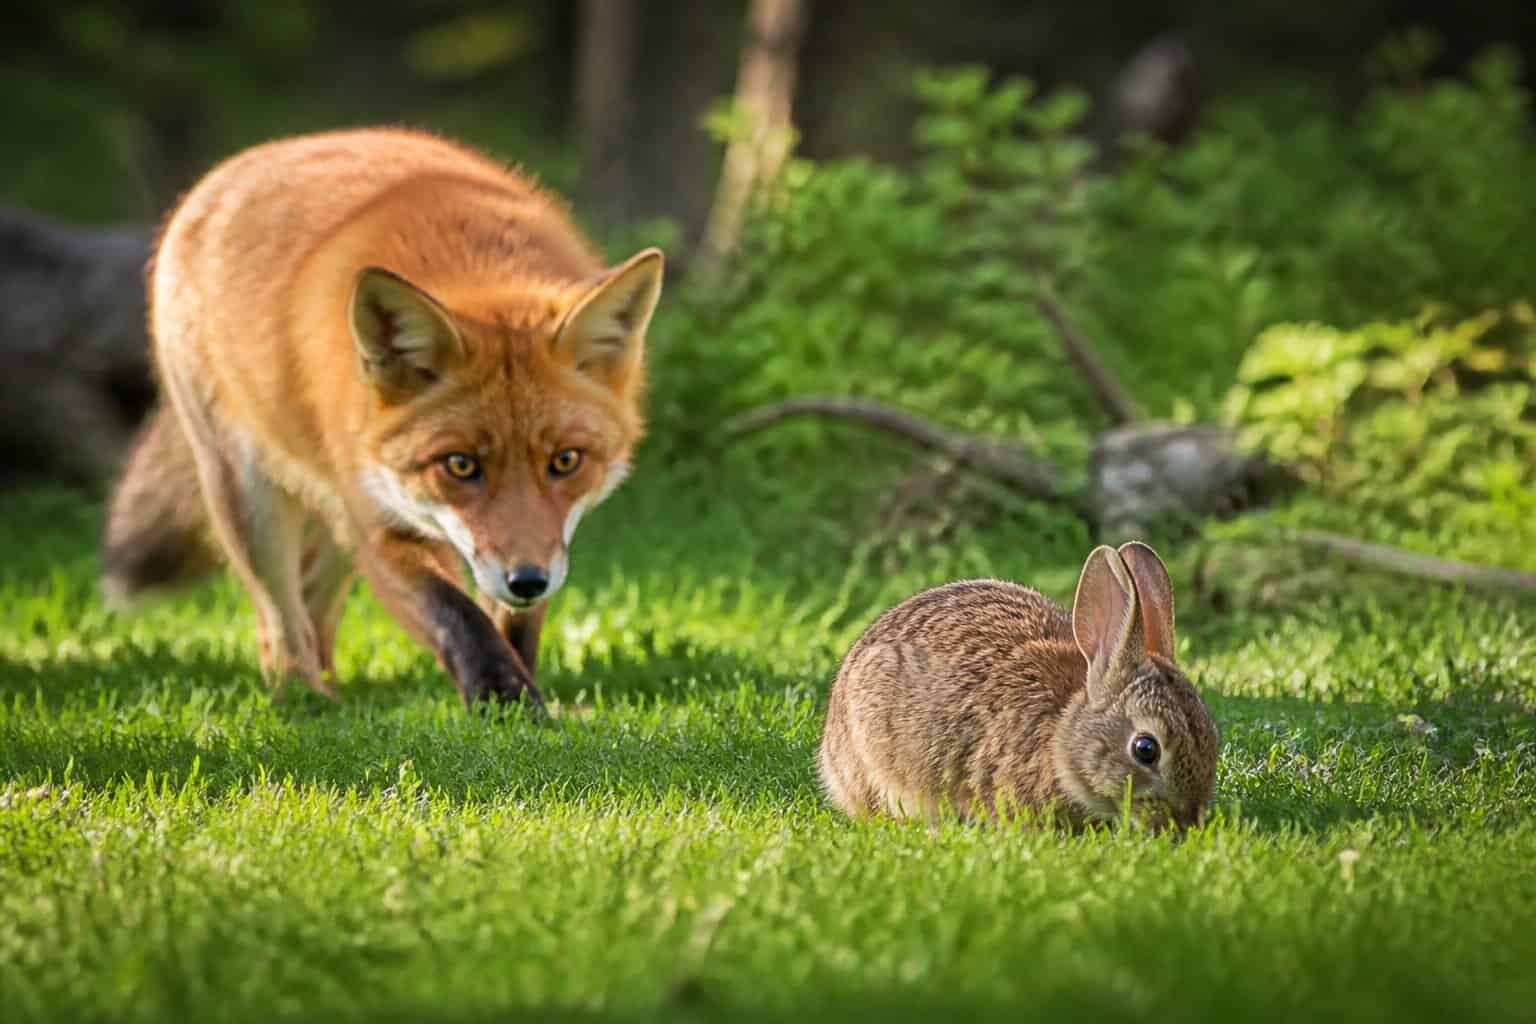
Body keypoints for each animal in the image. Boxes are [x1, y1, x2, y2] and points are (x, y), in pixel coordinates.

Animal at [101, 126, 664, 711]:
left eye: (566, 461)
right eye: (460, 465)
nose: (527, 580)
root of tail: (254, 156)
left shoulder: (534, 541)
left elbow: (511, 628)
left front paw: (517, 696)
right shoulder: (381, 524)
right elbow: (457, 617)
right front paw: (506, 704)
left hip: (334, 519)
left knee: (313, 606)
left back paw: (332, 695)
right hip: (251, 498)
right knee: (278, 621)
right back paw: (302, 702)